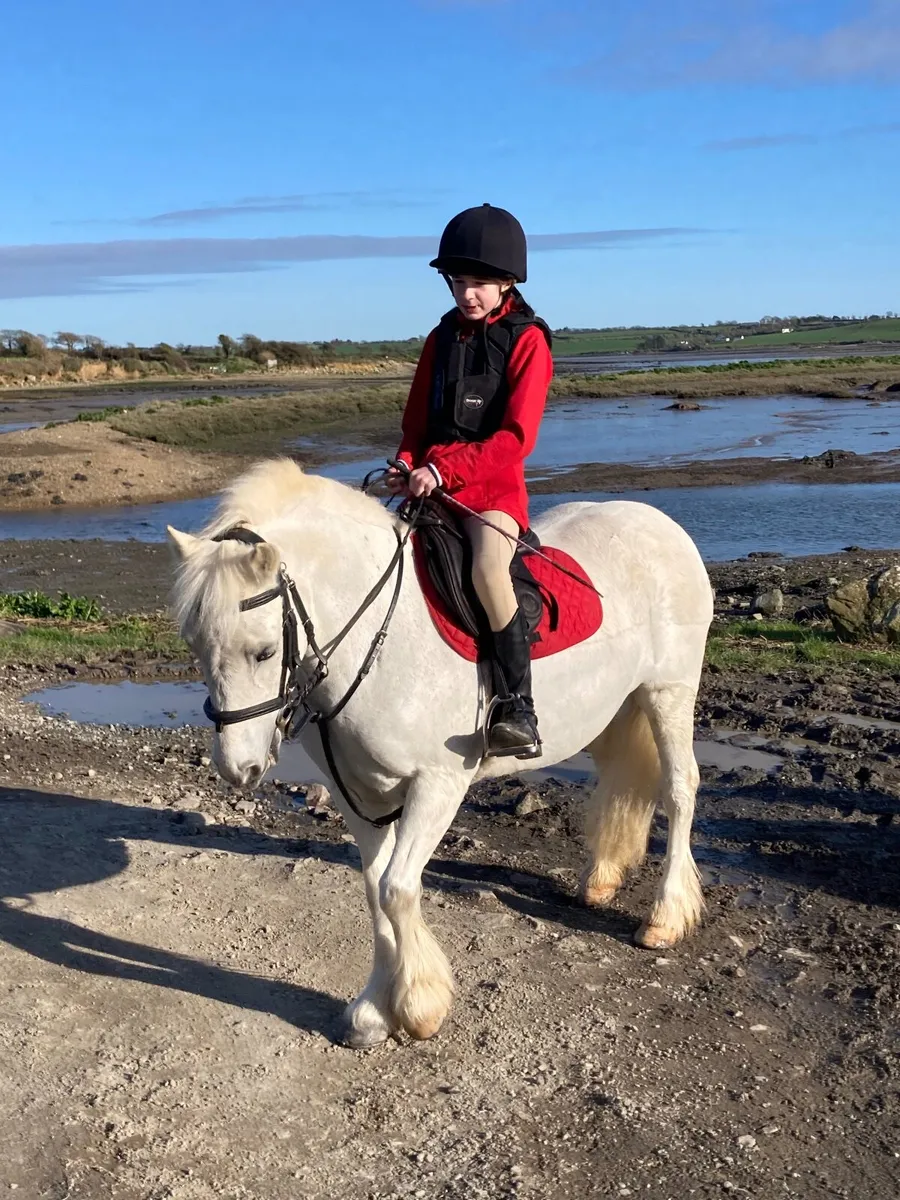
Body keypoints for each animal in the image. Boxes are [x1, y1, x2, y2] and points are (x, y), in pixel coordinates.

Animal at [168, 459, 713, 1049]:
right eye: (195, 645)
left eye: (264, 652)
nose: (236, 767)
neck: (381, 640)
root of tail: (657, 522)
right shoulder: (357, 792)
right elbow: (373, 889)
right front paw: (374, 1011)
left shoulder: (437, 786)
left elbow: (396, 889)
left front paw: (418, 1007)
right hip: (619, 705)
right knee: (620, 781)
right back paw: (601, 879)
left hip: (668, 693)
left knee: (679, 789)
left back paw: (664, 918)